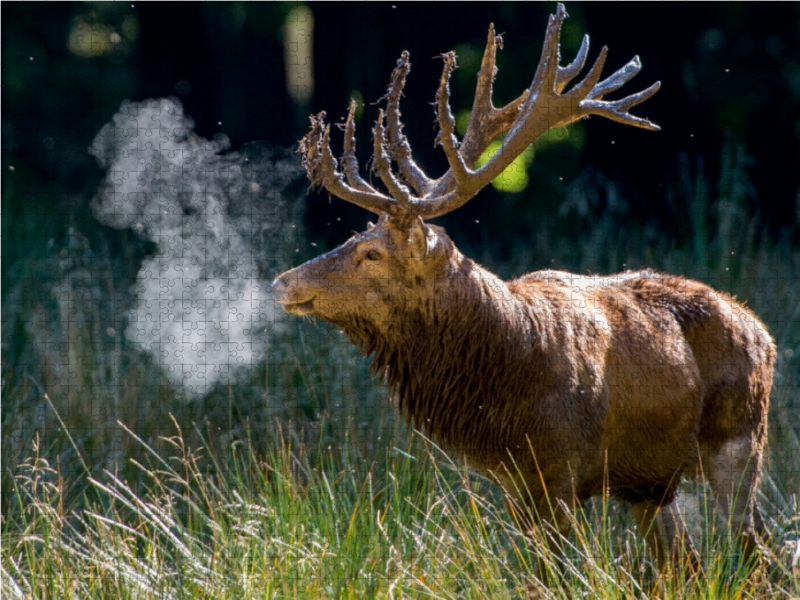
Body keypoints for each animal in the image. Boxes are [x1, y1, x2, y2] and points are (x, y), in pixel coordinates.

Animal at [274, 3, 776, 576]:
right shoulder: (514, 482)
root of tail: (764, 334)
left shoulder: (561, 468)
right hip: (651, 482)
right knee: (682, 563)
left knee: (757, 550)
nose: (282, 281)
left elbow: (556, 573)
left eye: (372, 254)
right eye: (355, 237)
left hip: (739, 436)